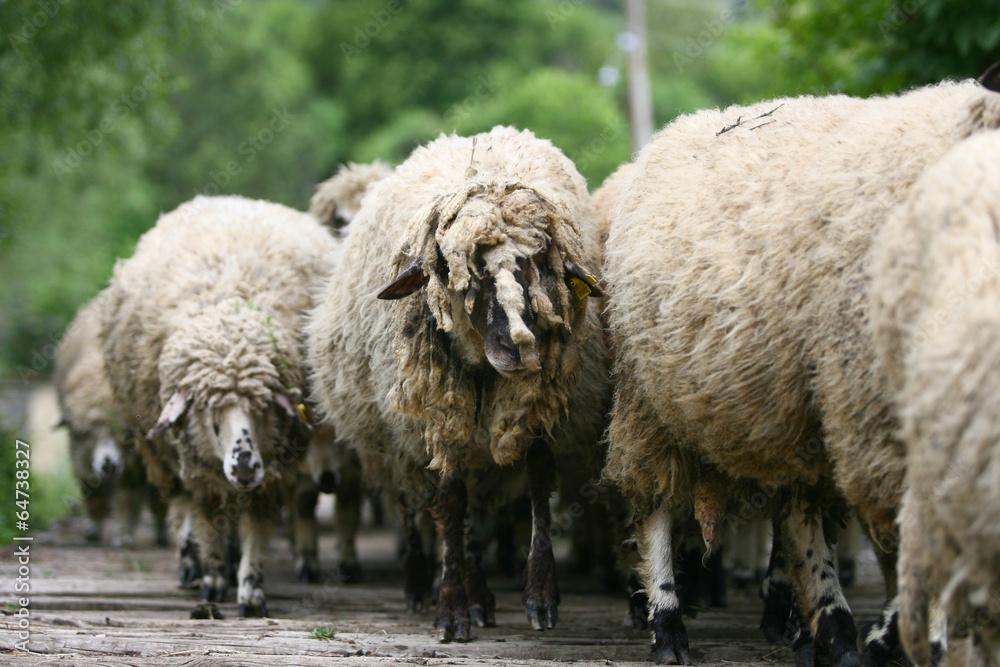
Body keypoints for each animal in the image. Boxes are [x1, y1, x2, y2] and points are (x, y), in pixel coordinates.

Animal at [55, 294, 167, 544]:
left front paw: (123, 534)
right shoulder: (80, 450)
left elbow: (129, 496)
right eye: (86, 434)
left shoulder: (135, 457)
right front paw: (94, 527)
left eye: (123, 433)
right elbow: (92, 490)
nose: (108, 465)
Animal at [102, 196, 338, 620]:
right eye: (210, 419)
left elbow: (254, 528)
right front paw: (212, 580)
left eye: (262, 410)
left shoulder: (270, 471)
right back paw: (191, 563)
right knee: (187, 510)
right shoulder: (198, 469)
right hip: (170, 459)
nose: (243, 466)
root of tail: (231, 201)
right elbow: (208, 519)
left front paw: (250, 590)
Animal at [306, 124, 608, 640]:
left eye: (539, 262)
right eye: (454, 269)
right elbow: (448, 502)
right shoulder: (440, 410)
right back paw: (421, 585)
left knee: (476, 510)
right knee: (411, 503)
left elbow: (537, 483)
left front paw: (541, 595)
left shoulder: (532, 404)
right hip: (392, 439)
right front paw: (449, 607)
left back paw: (481, 596)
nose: (519, 347)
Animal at [596, 79, 996, 667]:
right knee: (659, 510)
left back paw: (817, 624)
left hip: (792, 405)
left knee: (797, 514)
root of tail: (678, 130)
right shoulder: (877, 418)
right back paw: (670, 623)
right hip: (651, 401)